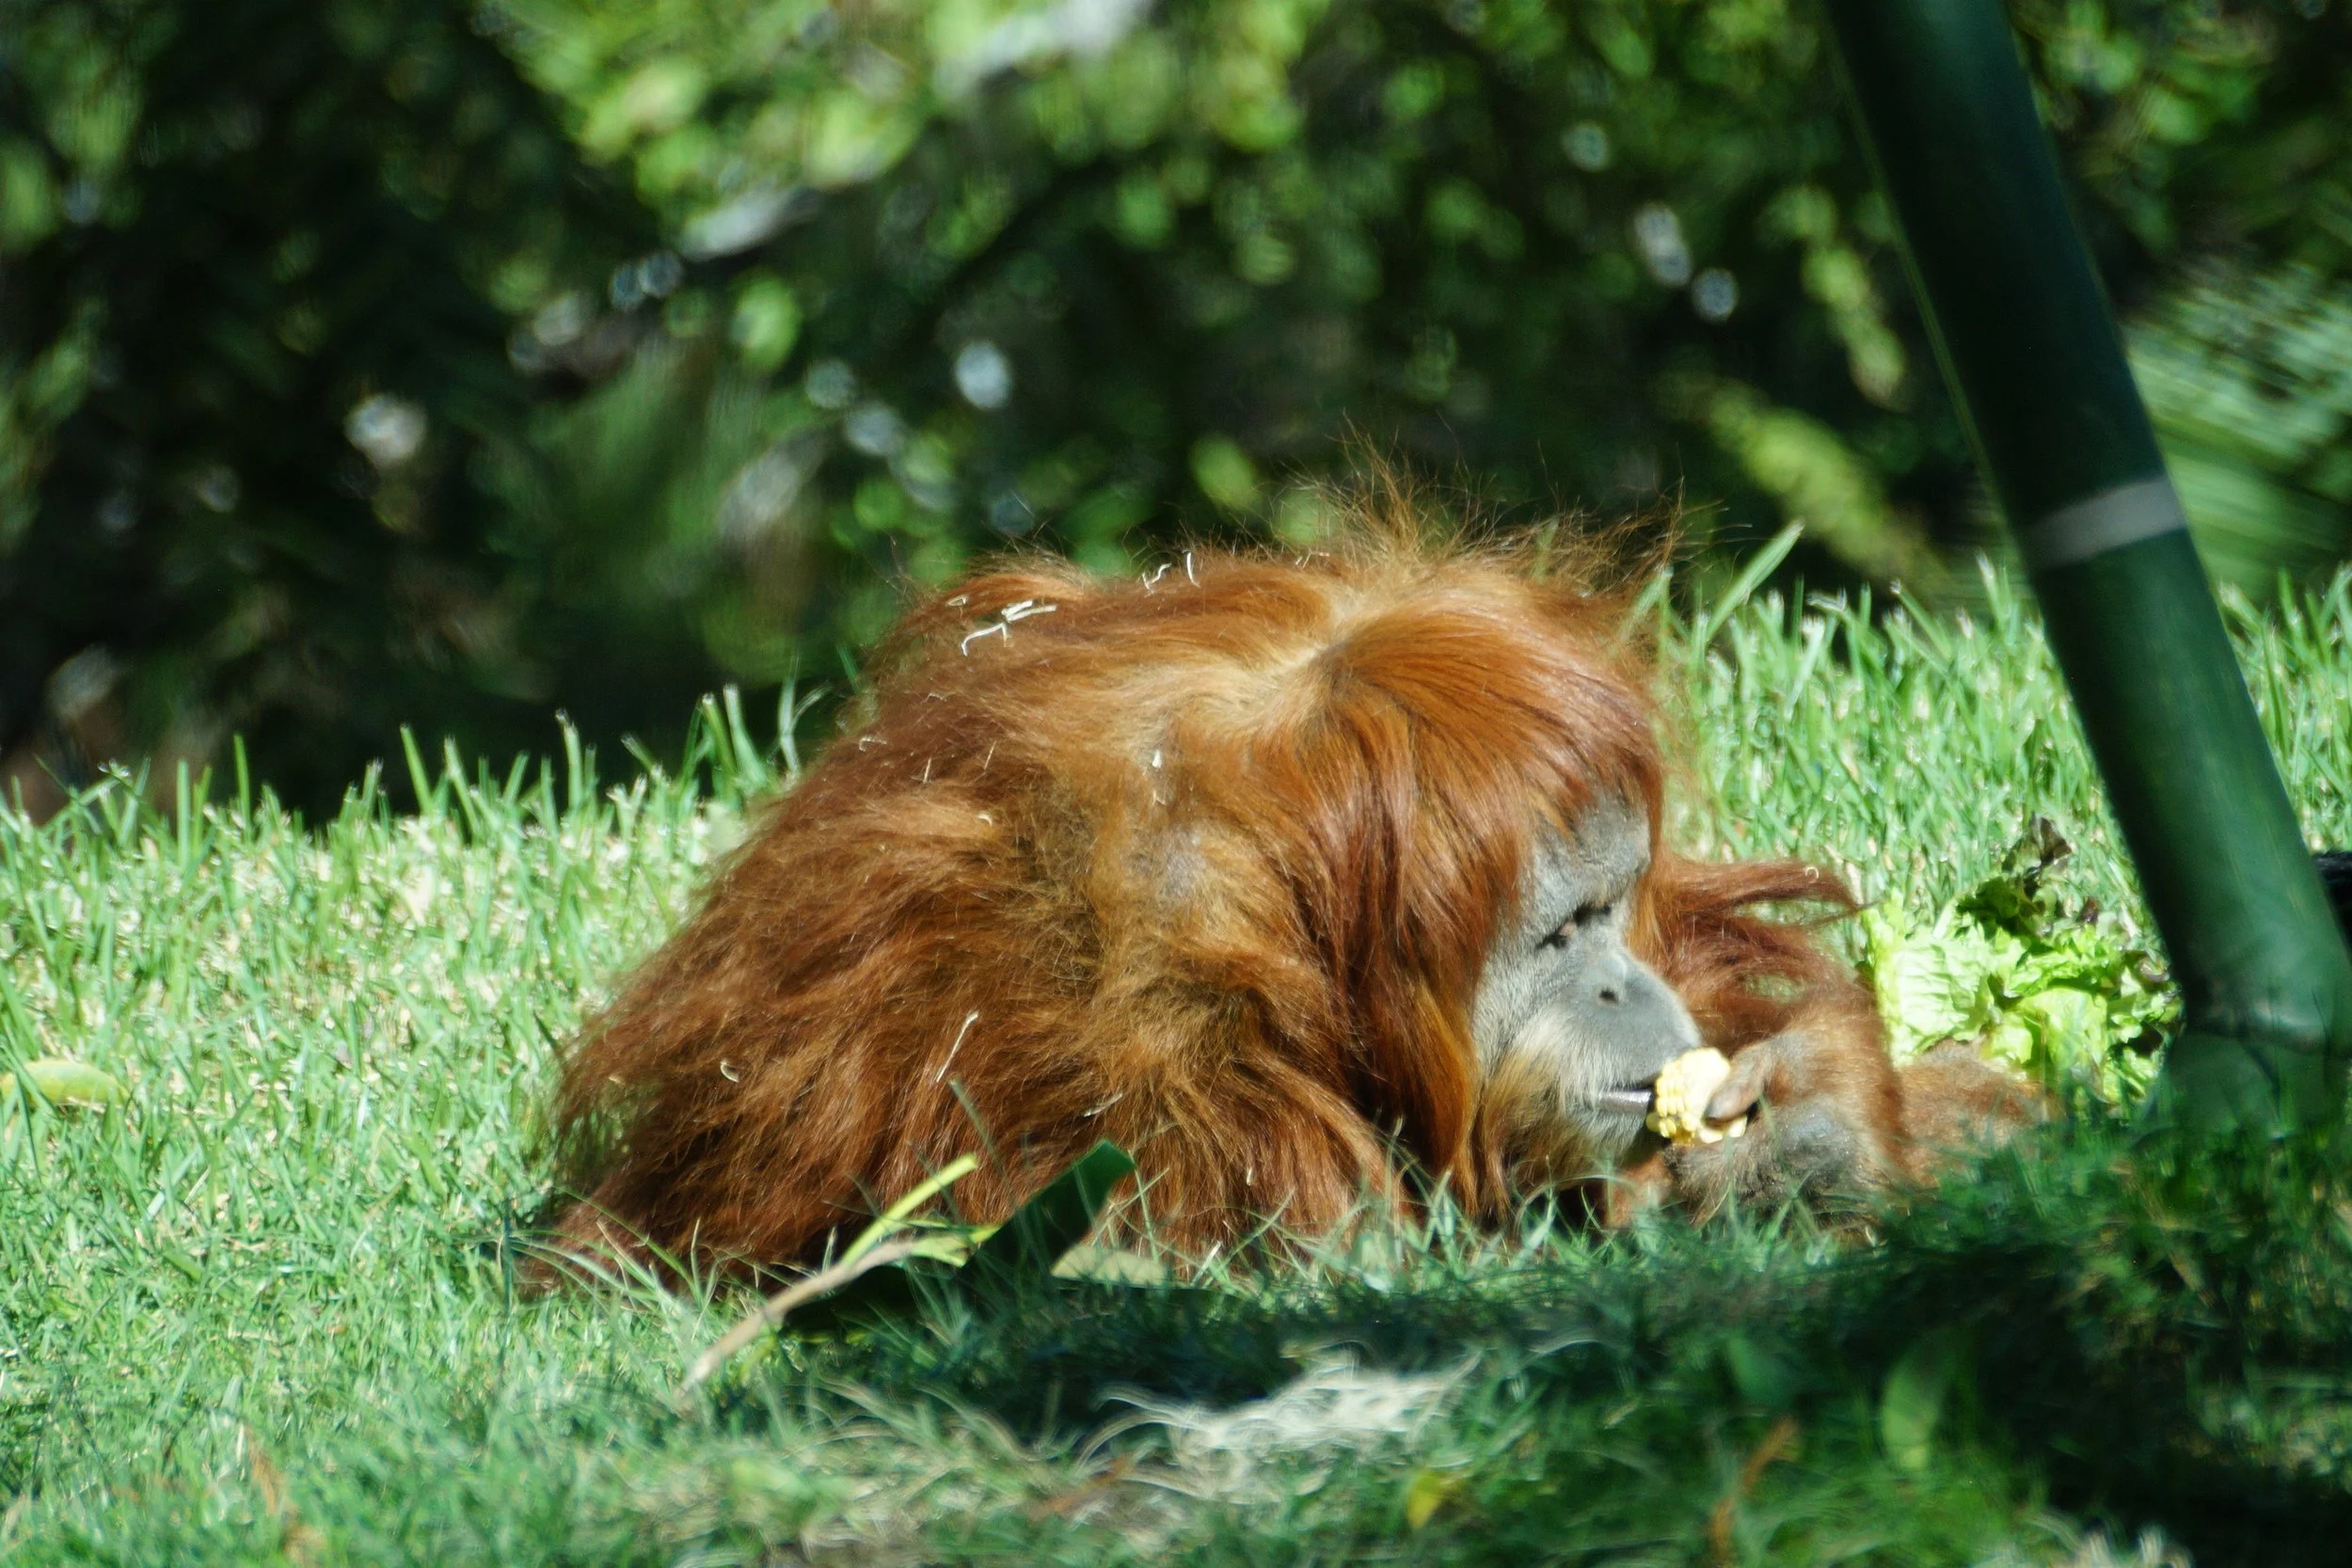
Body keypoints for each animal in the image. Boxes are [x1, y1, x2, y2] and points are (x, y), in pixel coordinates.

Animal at [545, 515, 2029, 1276]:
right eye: (1561, 932)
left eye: (1613, 907)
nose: (1625, 984)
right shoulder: (1148, 991)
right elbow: (1266, 1278)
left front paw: (1814, 1113)